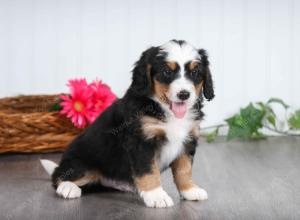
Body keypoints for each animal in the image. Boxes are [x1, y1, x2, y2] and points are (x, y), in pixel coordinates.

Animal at [41, 40, 214, 208]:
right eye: (167, 72)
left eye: (195, 73)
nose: (184, 94)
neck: (164, 109)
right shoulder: (141, 142)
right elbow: (149, 170)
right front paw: (156, 195)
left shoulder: (187, 141)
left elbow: (184, 169)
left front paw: (189, 190)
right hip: (82, 163)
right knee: (57, 177)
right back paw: (68, 187)